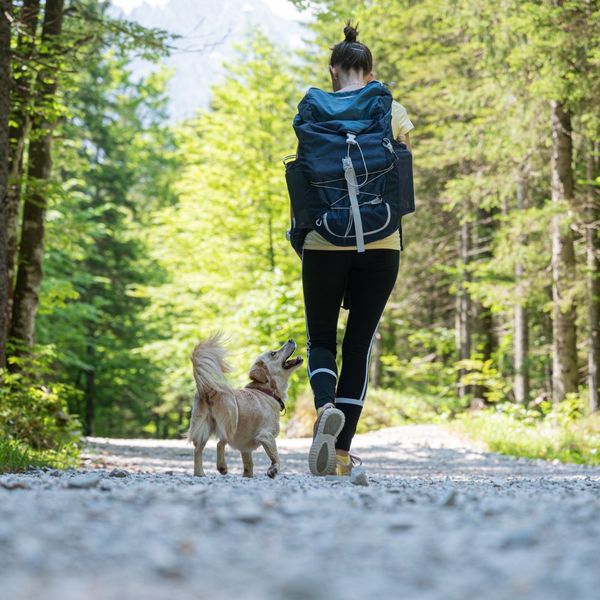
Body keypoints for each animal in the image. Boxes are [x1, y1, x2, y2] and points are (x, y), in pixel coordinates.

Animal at [188, 332, 302, 478]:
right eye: (273, 353)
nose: (291, 340)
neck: (267, 391)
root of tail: (207, 388)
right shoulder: (266, 435)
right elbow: (276, 457)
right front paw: (273, 469)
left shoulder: (245, 448)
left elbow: (249, 465)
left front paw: (248, 476)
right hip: (232, 418)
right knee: (220, 442)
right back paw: (222, 467)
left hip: (202, 426)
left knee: (197, 450)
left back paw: (200, 473)